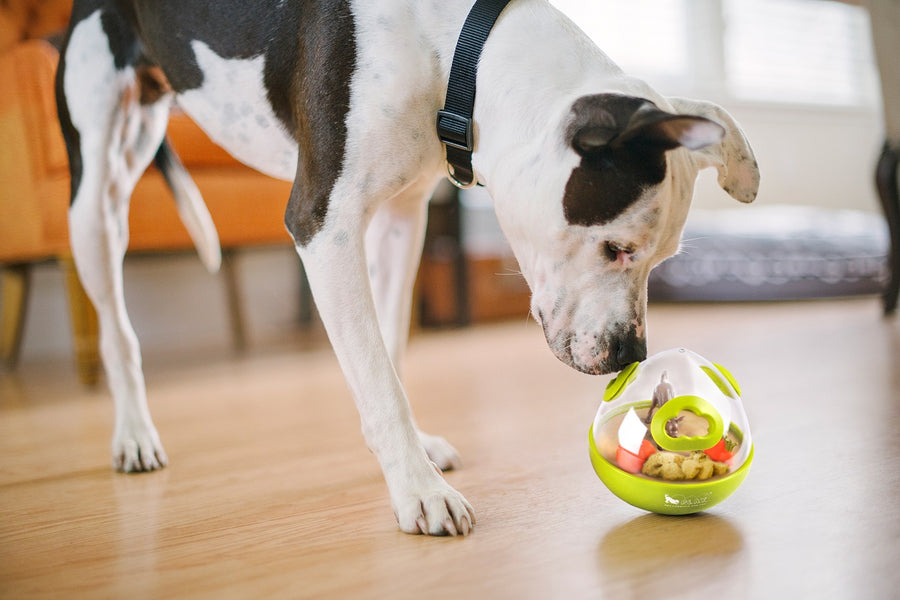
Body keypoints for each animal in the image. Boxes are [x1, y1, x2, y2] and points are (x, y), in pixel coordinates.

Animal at [56, 0, 760, 536]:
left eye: (660, 259)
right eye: (617, 248)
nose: (628, 355)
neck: (452, 45)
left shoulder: (401, 219)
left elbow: (389, 352)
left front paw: (415, 453)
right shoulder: (325, 226)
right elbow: (376, 377)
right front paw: (417, 490)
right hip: (96, 200)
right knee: (116, 326)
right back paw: (133, 433)